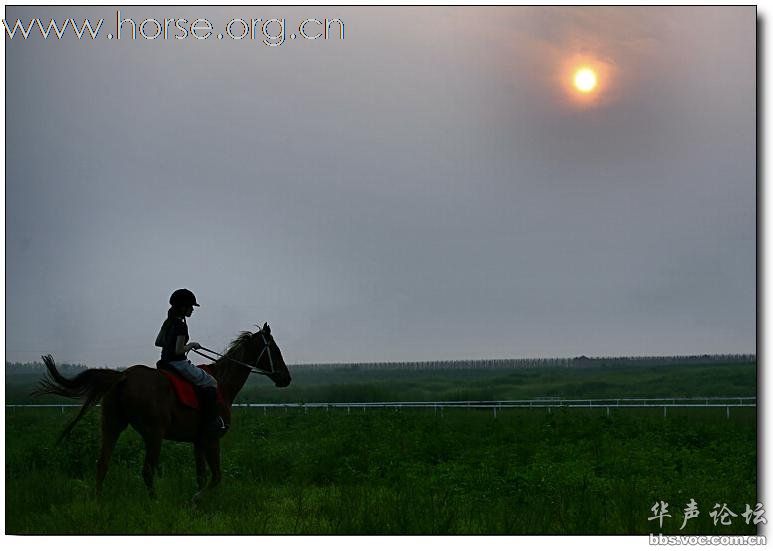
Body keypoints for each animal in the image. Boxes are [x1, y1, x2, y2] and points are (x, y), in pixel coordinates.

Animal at [34, 324, 292, 500]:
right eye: (275, 350)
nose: (286, 378)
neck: (222, 384)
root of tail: (123, 376)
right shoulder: (211, 439)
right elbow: (216, 476)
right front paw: (196, 500)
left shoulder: (198, 441)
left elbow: (201, 475)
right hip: (153, 434)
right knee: (147, 471)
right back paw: (154, 502)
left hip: (112, 426)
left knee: (102, 463)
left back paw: (98, 501)